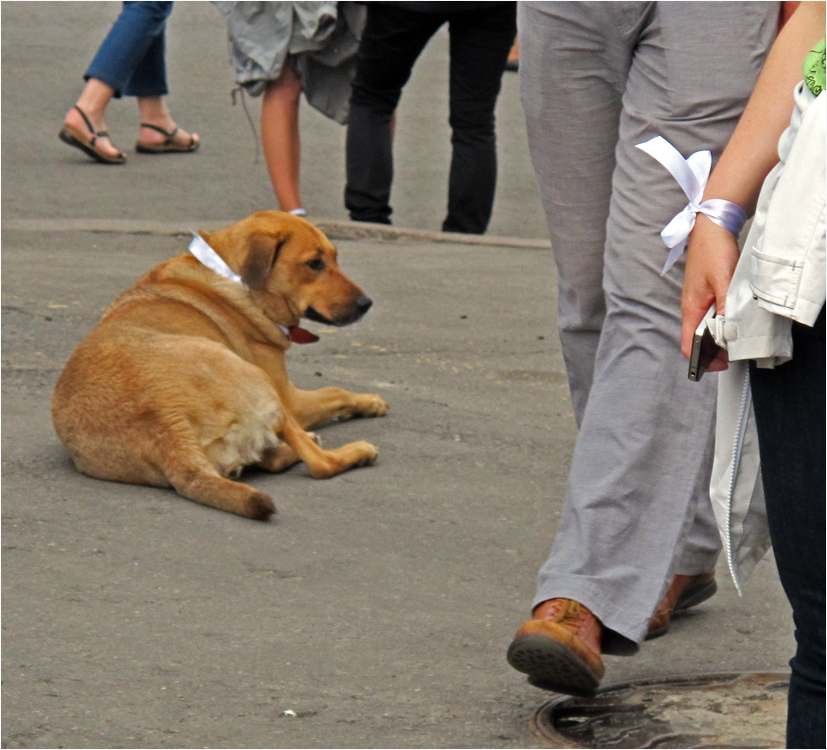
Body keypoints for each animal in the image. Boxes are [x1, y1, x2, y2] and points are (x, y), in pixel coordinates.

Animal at [51, 209, 388, 520]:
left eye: (334, 258)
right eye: (315, 264)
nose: (367, 304)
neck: (230, 276)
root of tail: (166, 423)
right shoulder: (291, 399)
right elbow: (336, 391)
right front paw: (371, 401)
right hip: (256, 379)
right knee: (321, 464)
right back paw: (355, 452)